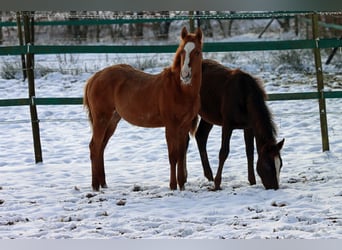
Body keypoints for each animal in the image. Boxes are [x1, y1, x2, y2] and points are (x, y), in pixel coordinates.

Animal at [84, 26, 203, 191]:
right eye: (182, 52)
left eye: (197, 51)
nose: (185, 75)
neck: (179, 89)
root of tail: (94, 78)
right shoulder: (171, 126)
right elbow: (173, 156)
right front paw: (173, 186)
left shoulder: (184, 126)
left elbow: (181, 155)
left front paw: (182, 185)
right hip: (101, 119)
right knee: (94, 147)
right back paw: (95, 186)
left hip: (112, 121)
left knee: (100, 147)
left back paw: (103, 183)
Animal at [194, 59, 284, 190]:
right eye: (268, 165)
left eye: (280, 165)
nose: (274, 188)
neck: (244, 95)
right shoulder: (227, 125)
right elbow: (224, 152)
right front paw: (217, 184)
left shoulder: (249, 127)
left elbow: (250, 152)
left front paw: (252, 181)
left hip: (208, 117)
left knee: (201, 136)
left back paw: (209, 175)